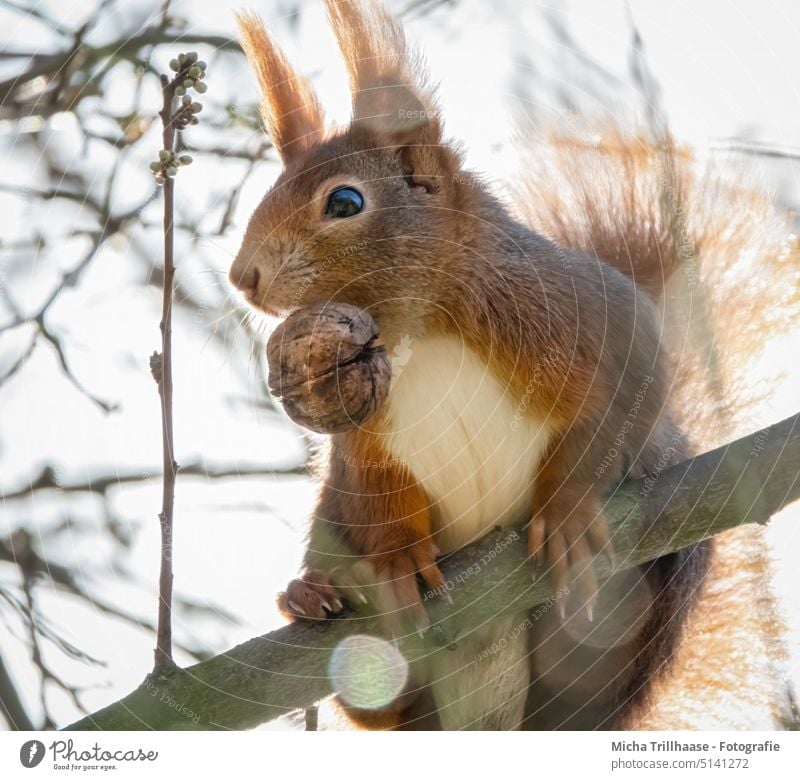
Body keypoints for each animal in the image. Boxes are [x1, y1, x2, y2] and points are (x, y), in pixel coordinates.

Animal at [228, 1, 796, 732]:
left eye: (345, 202)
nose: (243, 278)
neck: (421, 334)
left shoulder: (593, 320)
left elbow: (612, 408)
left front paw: (569, 507)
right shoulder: (361, 435)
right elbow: (380, 490)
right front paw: (397, 558)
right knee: (379, 707)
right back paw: (309, 593)